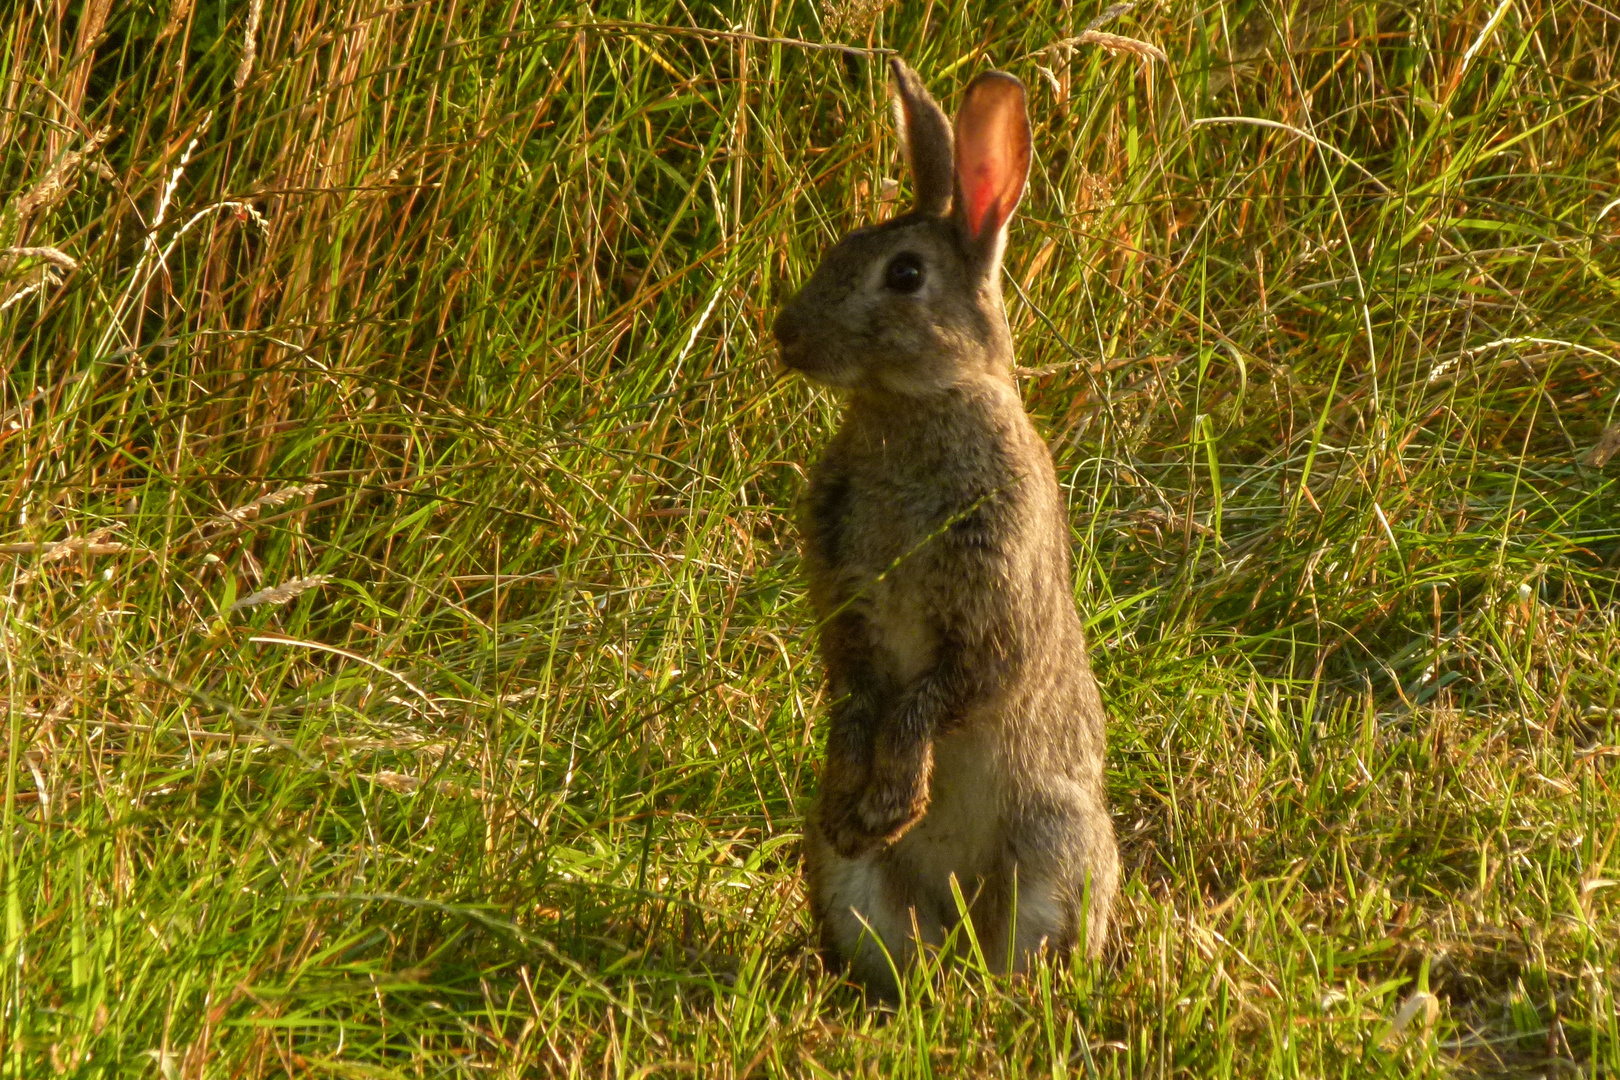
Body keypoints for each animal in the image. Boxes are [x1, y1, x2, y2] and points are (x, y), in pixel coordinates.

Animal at [771, 59, 1114, 1003]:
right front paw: (859, 807)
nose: (786, 335)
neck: (916, 405)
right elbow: (858, 695)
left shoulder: (992, 604)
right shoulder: (845, 607)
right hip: (846, 888)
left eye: (905, 275)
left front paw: (893, 801)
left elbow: (938, 696)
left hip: (1057, 851)